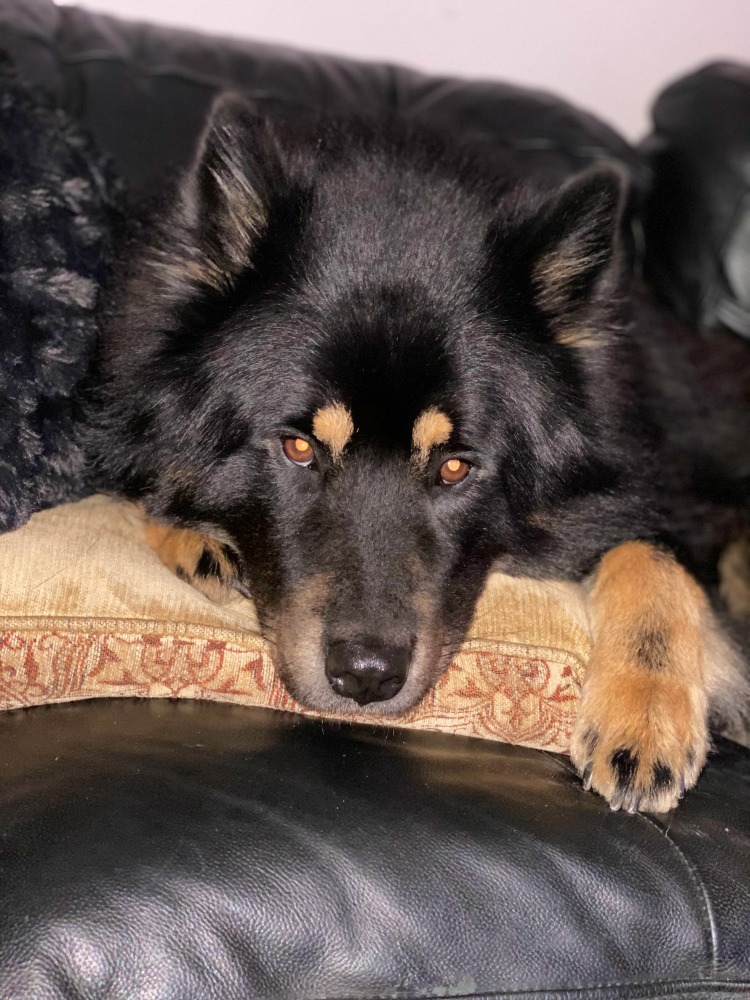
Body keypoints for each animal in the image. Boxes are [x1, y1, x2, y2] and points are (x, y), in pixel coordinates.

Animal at [92, 94, 750, 812]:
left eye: (455, 466)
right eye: (298, 447)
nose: (366, 677)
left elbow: (651, 554)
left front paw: (647, 713)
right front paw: (193, 535)